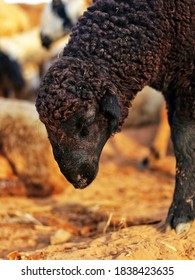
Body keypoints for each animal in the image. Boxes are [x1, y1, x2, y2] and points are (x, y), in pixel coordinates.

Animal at [36, 0, 193, 234]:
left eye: (87, 121)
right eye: (46, 127)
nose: (78, 180)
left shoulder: (187, 84)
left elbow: (184, 143)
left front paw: (181, 215)